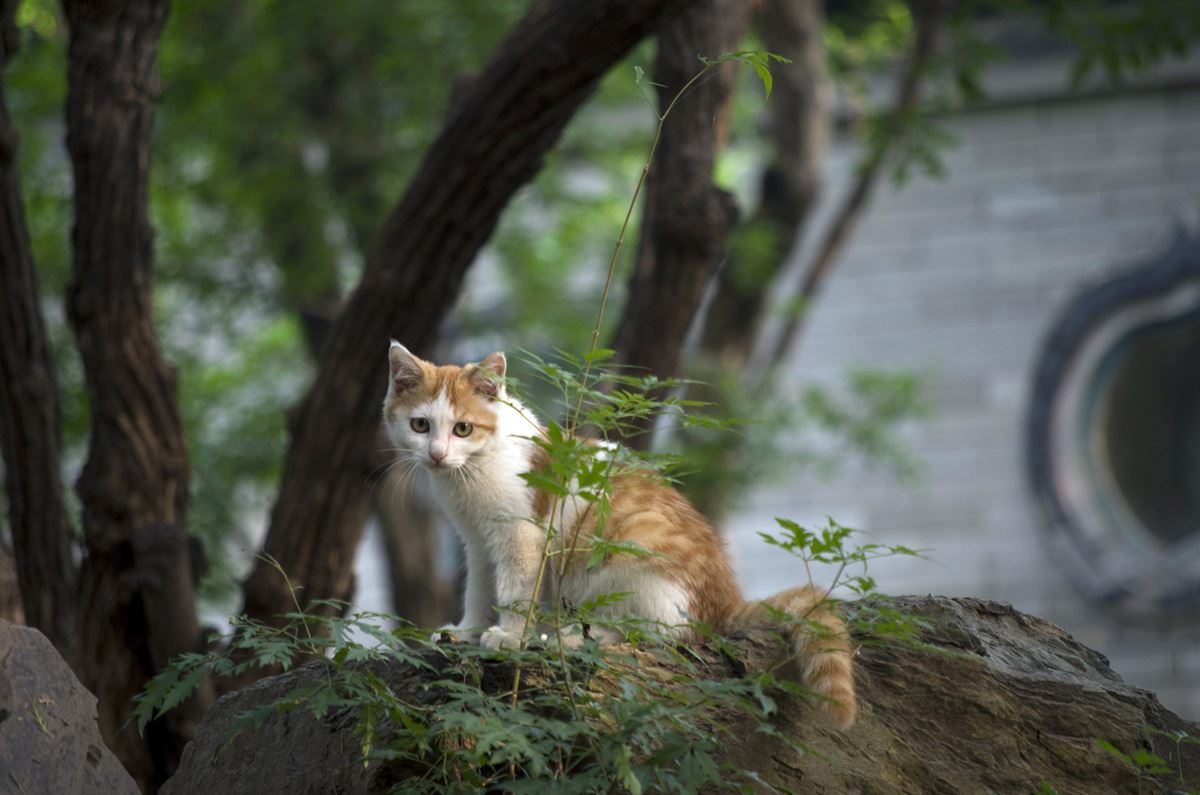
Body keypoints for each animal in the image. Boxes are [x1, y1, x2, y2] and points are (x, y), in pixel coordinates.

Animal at [379, 343, 859, 730]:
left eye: (462, 428)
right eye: (421, 425)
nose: (437, 455)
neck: (476, 467)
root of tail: (725, 602)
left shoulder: (522, 535)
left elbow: (516, 588)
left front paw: (510, 636)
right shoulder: (478, 541)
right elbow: (479, 588)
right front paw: (469, 631)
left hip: (629, 559)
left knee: (650, 635)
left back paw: (564, 637)